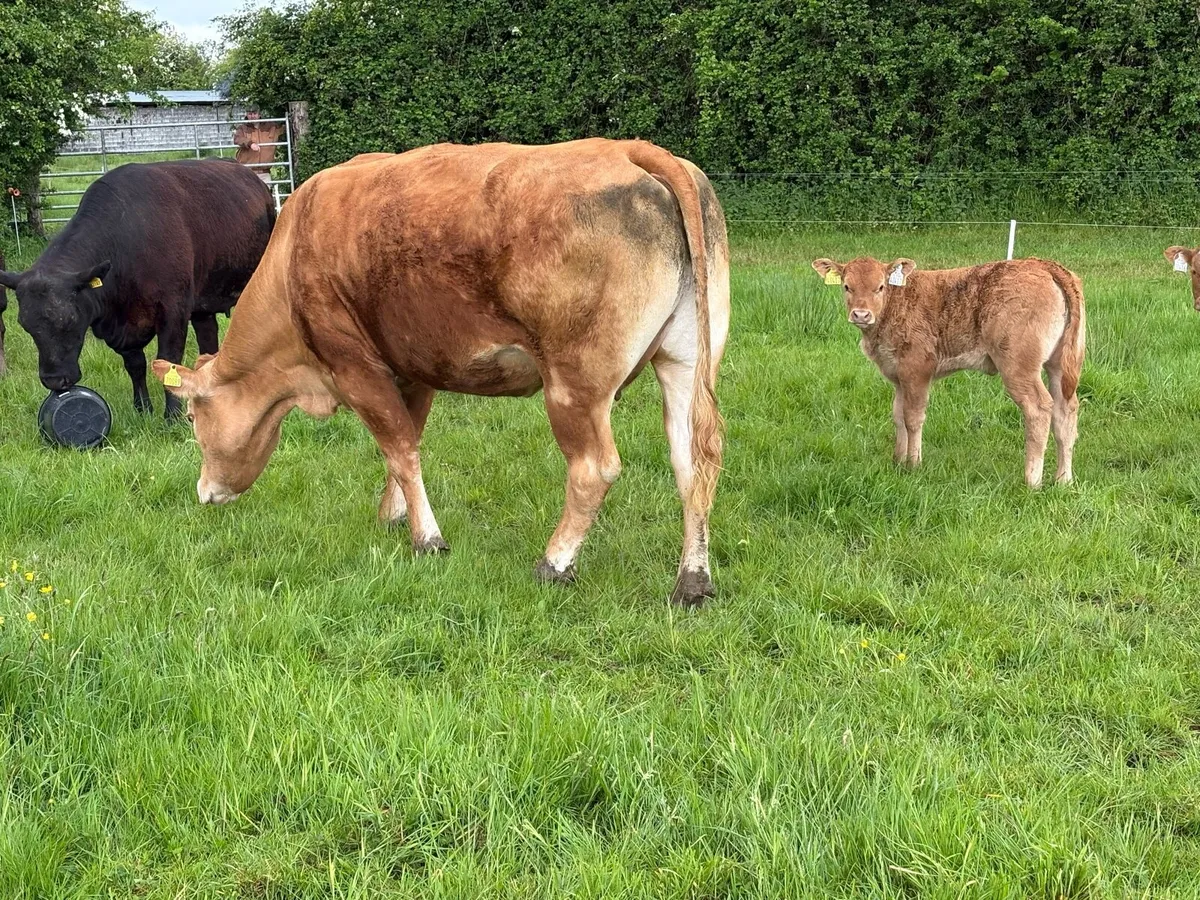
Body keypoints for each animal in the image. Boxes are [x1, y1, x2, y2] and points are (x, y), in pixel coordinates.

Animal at [0, 159, 275, 418]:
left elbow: (169, 361)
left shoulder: (173, 311)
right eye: (26, 326)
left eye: (70, 321)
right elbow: (135, 365)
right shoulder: (122, 331)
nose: (55, 380)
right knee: (207, 336)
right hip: (203, 302)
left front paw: (171, 416)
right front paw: (142, 409)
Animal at [150, 139, 730, 606]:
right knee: (693, 462)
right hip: (685, 361)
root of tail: (628, 150)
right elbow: (402, 444)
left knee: (594, 469)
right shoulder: (414, 369)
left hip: (575, 382)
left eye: (195, 421)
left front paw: (426, 539)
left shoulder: (354, 366)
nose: (204, 492)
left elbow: (401, 448)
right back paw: (692, 581)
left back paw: (554, 563)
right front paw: (394, 515)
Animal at [811, 256, 1085, 488]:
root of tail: (1042, 264)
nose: (861, 314)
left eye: (880, 287)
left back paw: (1032, 482)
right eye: (847, 286)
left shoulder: (917, 369)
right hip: (1059, 364)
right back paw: (1063, 479)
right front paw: (897, 460)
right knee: (1065, 410)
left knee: (1038, 409)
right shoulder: (898, 376)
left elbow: (913, 418)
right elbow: (897, 415)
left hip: (1018, 365)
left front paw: (913, 464)